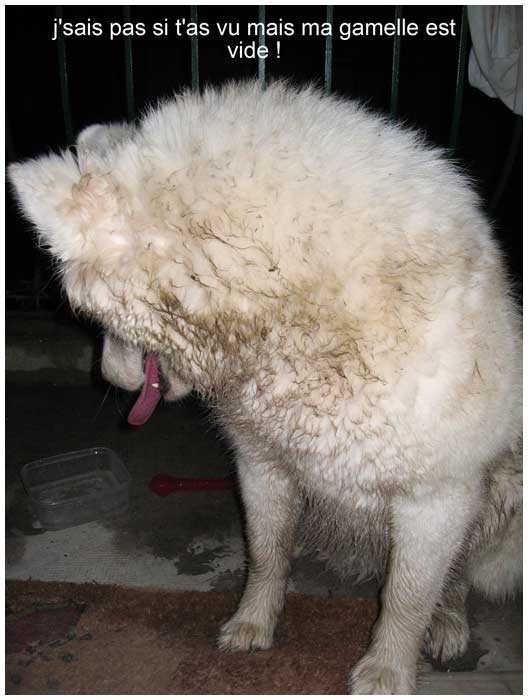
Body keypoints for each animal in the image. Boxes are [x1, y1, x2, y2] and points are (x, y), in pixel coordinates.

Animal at [10, 82, 520, 696]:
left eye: (93, 316)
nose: (108, 378)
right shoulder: (260, 462)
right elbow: (267, 554)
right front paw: (252, 624)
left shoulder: (437, 497)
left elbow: (406, 598)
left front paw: (387, 670)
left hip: (499, 497)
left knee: (460, 577)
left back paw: (448, 624)